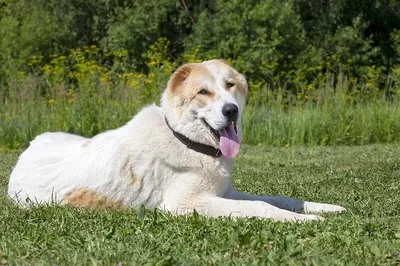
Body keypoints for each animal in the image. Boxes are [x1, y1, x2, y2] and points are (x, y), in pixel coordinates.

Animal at [6, 59, 346, 221]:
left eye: (230, 86)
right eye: (203, 92)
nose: (231, 110)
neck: (187, 142)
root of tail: (26, 152)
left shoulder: (225, 193)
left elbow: (279, 198)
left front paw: (323, 207)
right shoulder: (186, 204)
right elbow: (262, 208)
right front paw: (308, 220)